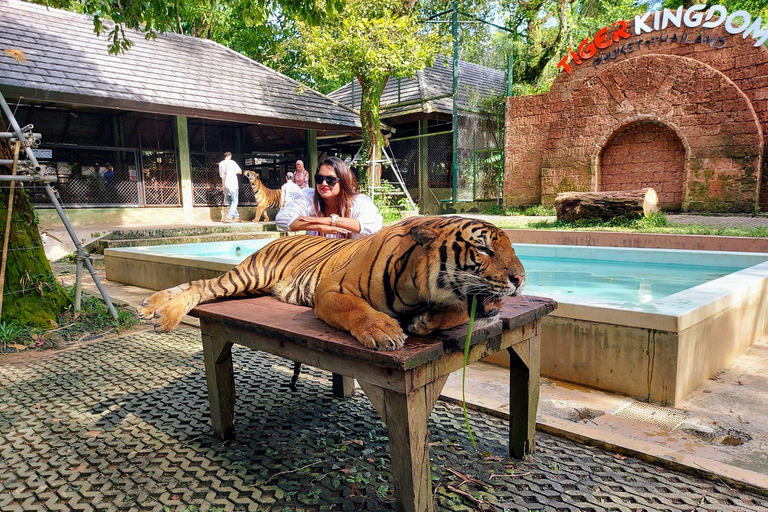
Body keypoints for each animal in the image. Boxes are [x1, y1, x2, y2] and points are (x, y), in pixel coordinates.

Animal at [138, 216, 524, 352]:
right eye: (483, 248)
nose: (521, 279)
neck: (416, 286)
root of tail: (272, 239)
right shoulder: (331, 290)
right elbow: (356, 309)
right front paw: (384, 331)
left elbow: (461, 309)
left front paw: (426, 321)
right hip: (249, 276)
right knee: (201, 287)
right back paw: (164, 316)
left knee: (195, 281)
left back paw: (149, 307)